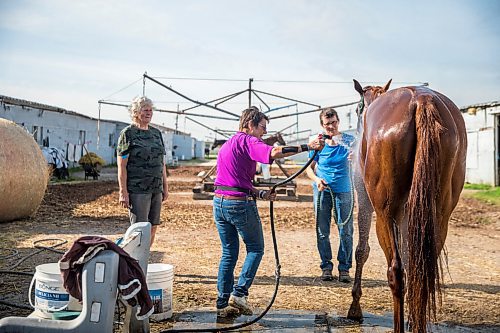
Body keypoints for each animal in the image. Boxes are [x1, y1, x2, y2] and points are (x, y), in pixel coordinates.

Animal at [350, 79, 466, 330]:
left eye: (356, 109)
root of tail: (422, 99)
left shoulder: (364, 202)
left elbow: (362, 250)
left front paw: (354, 307)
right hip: (438, 216)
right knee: (422, 269)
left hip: (385, 215)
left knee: (396, 271)